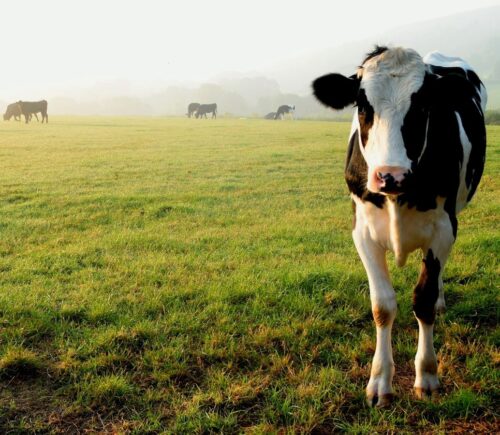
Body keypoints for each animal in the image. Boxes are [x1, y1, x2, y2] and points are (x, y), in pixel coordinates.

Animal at [312, 46, 484, 408]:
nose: (390, 175)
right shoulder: (362, 231)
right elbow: (382, 306)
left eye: (423, 106)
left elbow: (424, 298)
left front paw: (427, 375)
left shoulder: (444, 228)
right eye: (362, 105)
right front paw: (379, 381)